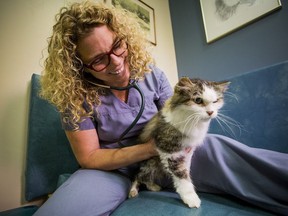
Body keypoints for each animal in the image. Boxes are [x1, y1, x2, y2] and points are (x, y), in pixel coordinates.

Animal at [129, 77, 231, 208]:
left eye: (215, 101)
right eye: (198, 100)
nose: (211, 112)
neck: (193, 122)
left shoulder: (187, 154)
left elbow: (186, 171)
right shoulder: (170, 152)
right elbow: (182, 177)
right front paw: (191, 198)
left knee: (145, 178)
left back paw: (153, 187)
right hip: (149, 163)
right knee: (137, 175)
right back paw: (133, 191)